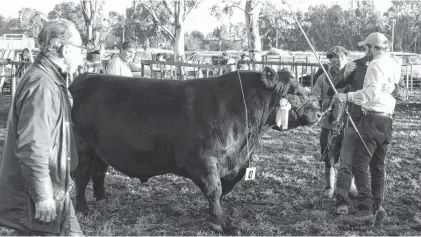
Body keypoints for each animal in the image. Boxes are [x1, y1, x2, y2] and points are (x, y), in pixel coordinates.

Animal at [69, 67, 318, 232]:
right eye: (295, 92)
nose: (317, 112)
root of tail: (85, 77)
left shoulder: (234, 165)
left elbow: (222, 189)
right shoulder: (203, 162)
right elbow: (214, 189)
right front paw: (220, 222)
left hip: (101, 150)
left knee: (98, 173)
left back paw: (103, 200)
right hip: (84, 147)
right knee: (82, 176)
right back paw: (83, 208)